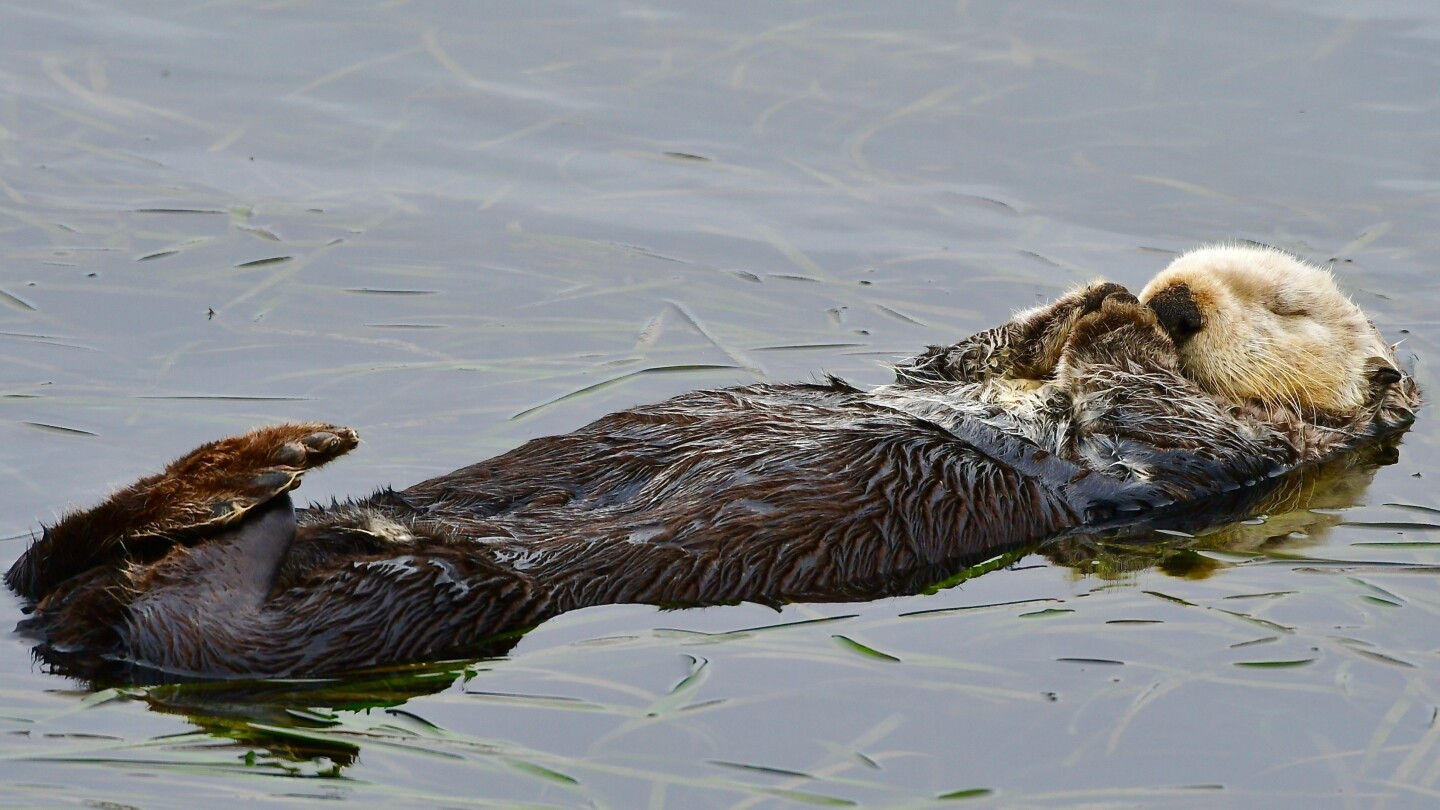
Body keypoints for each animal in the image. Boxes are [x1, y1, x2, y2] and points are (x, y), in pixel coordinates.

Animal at [4, 245, 1419, 680]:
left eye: (1286, 305)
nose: (1175, 294)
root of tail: (80, 629)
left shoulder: (1220, 461)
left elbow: (1163, 418)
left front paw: (1119, 328)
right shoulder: (954, 371)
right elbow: (952, 356)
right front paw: (1087, 298)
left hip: (416, 604)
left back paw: (287, 468)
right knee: (58, 555)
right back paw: (291, 456)